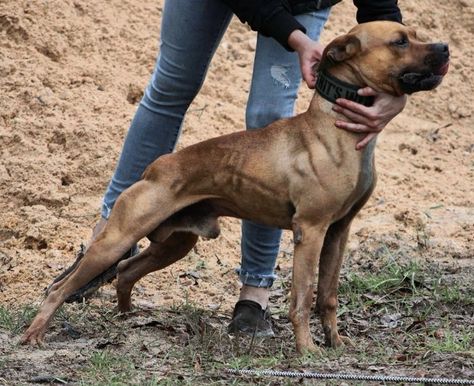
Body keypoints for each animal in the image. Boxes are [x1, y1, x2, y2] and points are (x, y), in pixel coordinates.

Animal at [21, 21, 448, 352]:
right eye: (400, 41)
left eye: (415, 34)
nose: (445, 47)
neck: (335, 128)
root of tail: (155, 168)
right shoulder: (310, 231)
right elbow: (303, 295)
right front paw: (307, 349)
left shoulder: (338, 232)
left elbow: (327, 295)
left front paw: (336, 343)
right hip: (116, 239)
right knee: (62, 287)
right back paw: (35, 333)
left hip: (175, 243)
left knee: (126, 270)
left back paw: (126, 316)